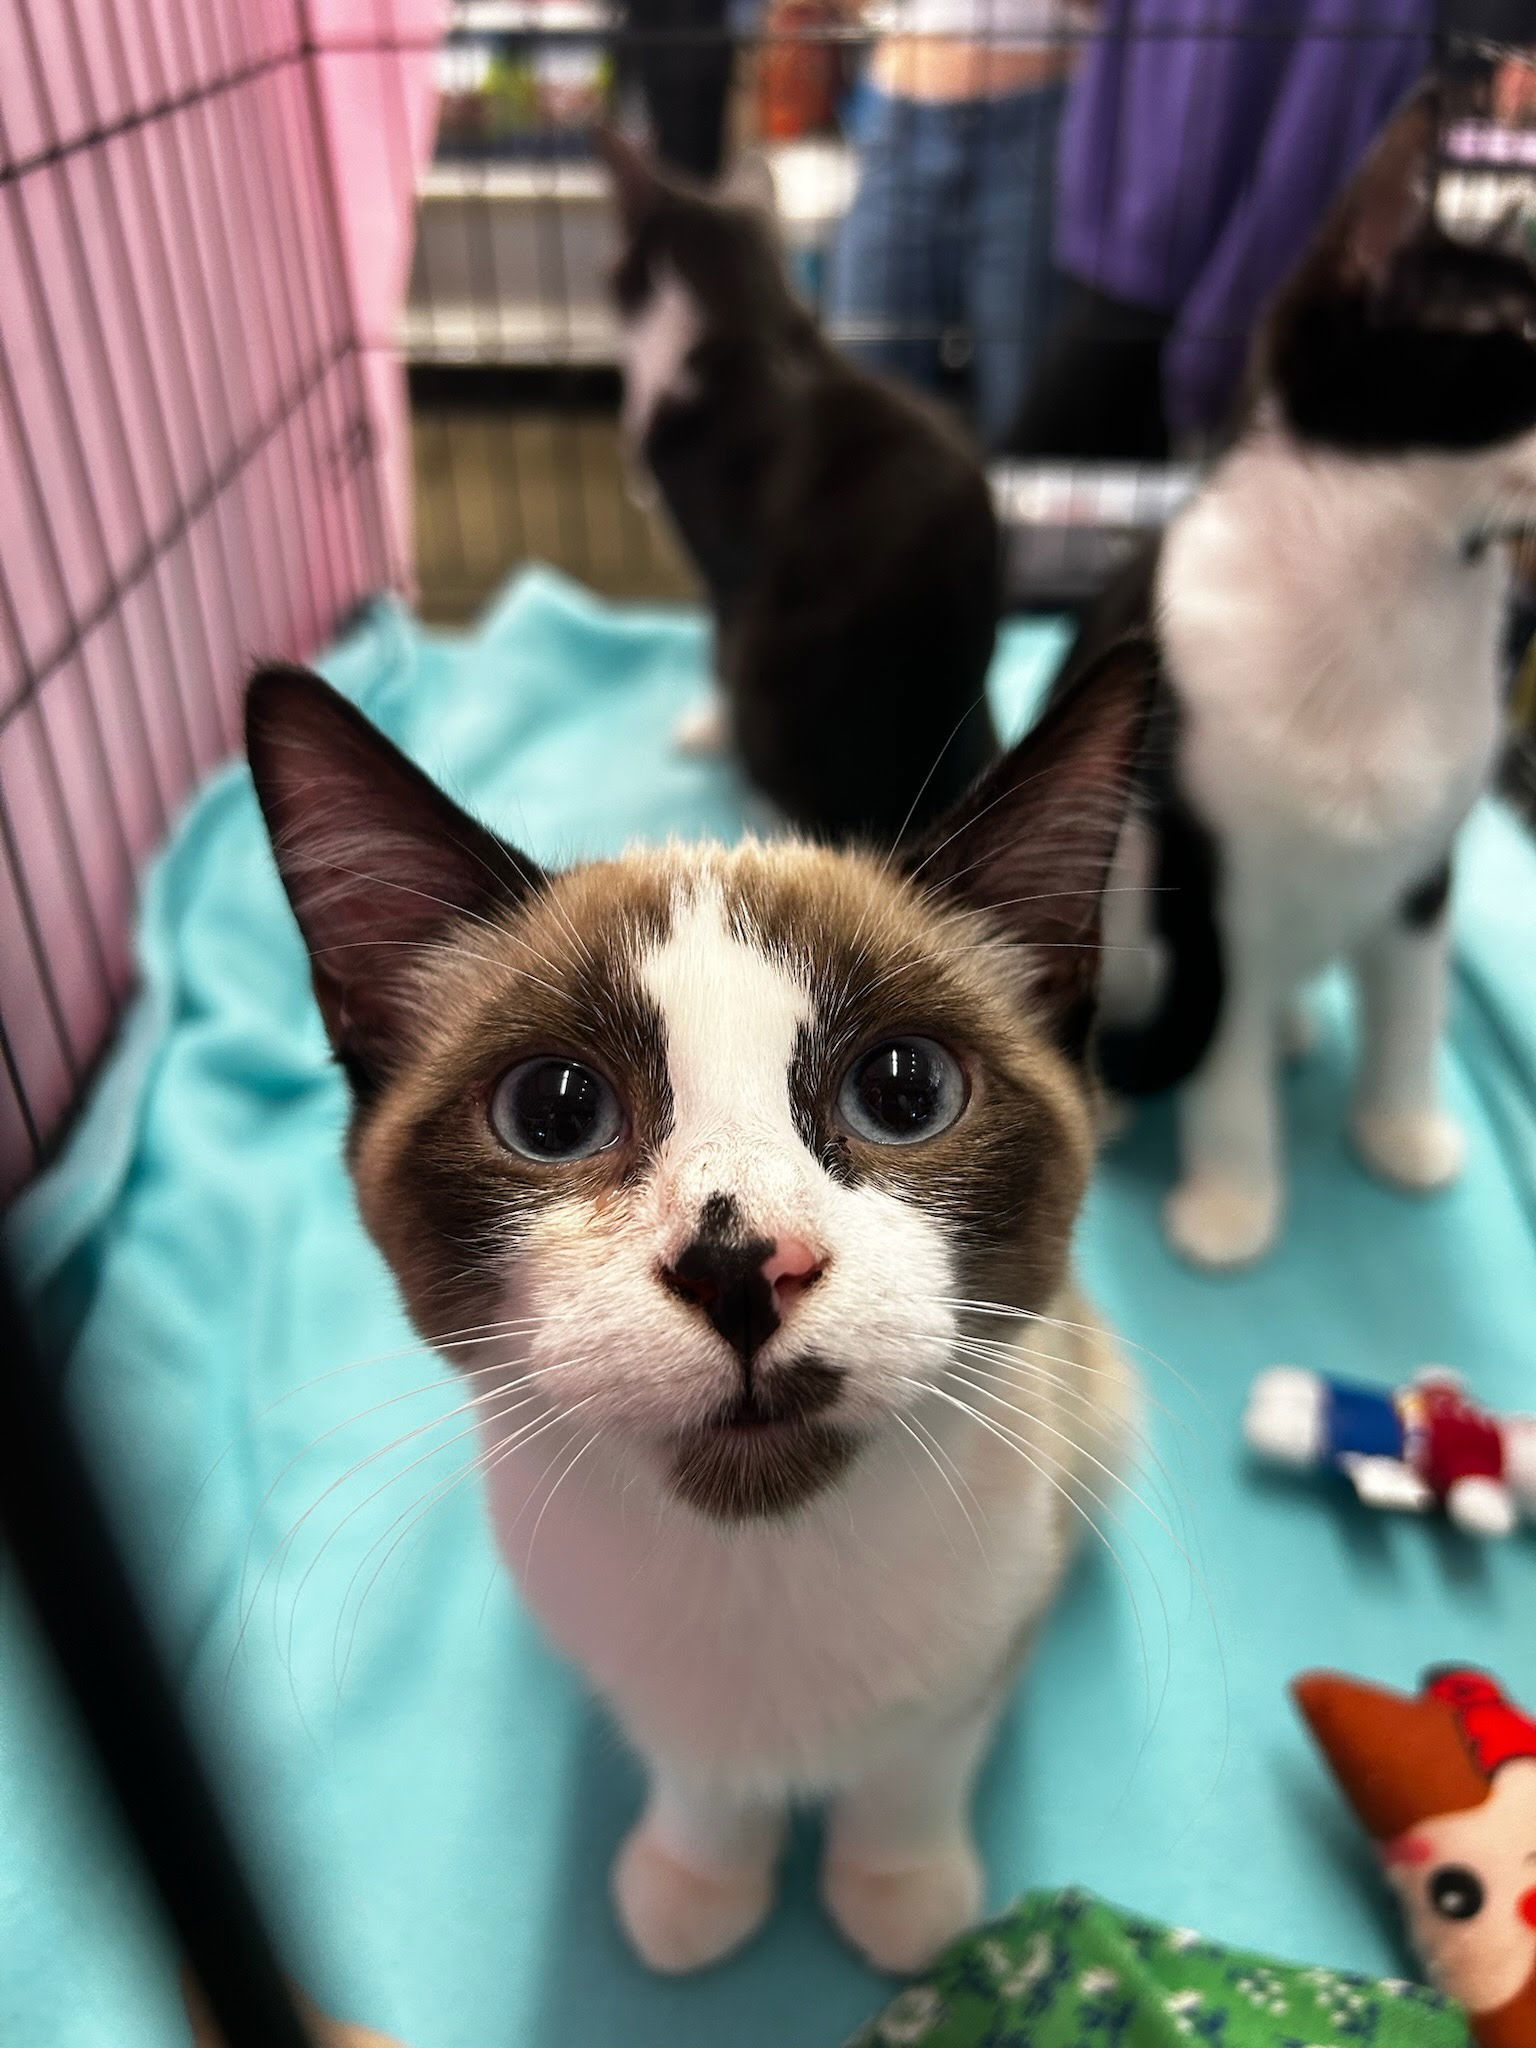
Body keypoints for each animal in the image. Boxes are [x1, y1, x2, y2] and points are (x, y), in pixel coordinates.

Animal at [243, 643, 1155, 1982]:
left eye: (905, 1089)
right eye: (553, 1110)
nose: (741, 1263)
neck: (760, 1564)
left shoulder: (989, 1630)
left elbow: (919, 1763)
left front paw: (900, 1890)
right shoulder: (629, 1666)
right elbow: (695, 1768)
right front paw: (701, 1876)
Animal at [1081, 88, 1536, 1269]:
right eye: (1518, 342)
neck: (1390, 595)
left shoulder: (1425, 866)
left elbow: (1414, 1009)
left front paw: (1400, 1127)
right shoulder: (1210, 887)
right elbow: (1221, 1061)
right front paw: (1236, 1197)